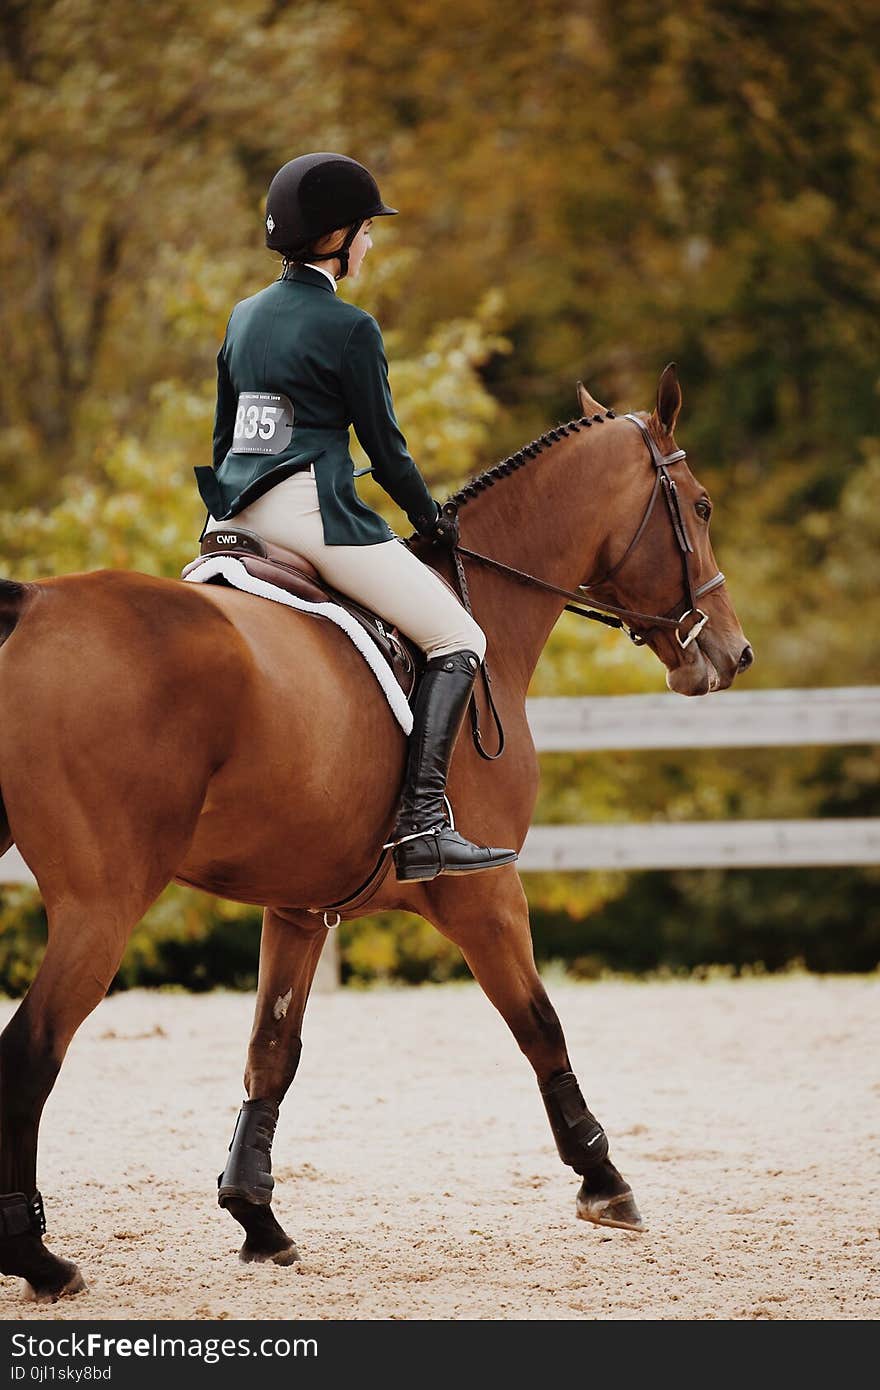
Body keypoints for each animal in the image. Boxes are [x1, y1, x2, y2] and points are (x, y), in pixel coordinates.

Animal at [0, 364, 756, 1295]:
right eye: (701, 505)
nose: (731, 653)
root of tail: (34, 604)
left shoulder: (299, 907)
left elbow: (272, 1050)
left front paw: (256, 1218)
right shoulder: (483, 891)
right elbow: (539, 1023)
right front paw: (605, 1181)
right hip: (101, 905)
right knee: (29, 1055)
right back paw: (36, 1256)